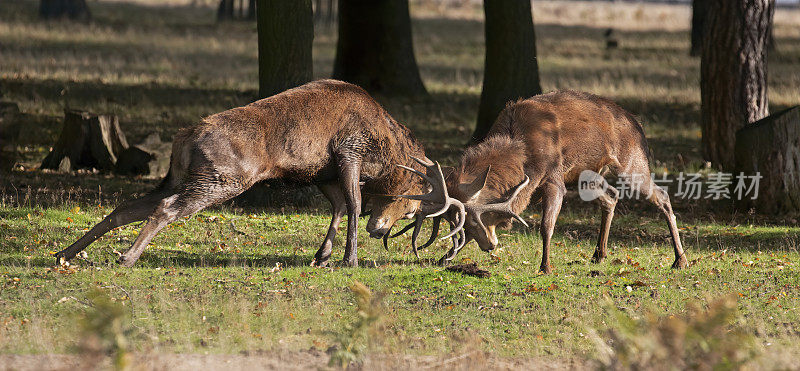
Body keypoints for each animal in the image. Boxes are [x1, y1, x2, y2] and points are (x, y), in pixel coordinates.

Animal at [54, 80, 462, 268]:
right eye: (410, 207)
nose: (381, 231)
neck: (385, 149)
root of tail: (183, 139)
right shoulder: (349, 152)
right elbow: (354, 204)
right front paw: (350, 259)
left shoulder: (323, 173)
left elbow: (338, 208)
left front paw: (322, 255)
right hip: (223, 177)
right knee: (167, 208)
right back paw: (127, 256)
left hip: (178, 175)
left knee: (125, 207)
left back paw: (65, 253)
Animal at [410, 91, 692, 274]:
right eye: (456, 222)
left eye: (472, 219)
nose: (490, 246)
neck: (524, 153)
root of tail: (637, 123)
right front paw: (445, 257)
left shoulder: (554, 177)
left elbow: (547, 225)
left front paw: (545, 266)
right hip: (586, 175)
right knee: (611, 196)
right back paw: (599, 254)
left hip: (631, 161)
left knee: (661, 195)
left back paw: (680, 260)